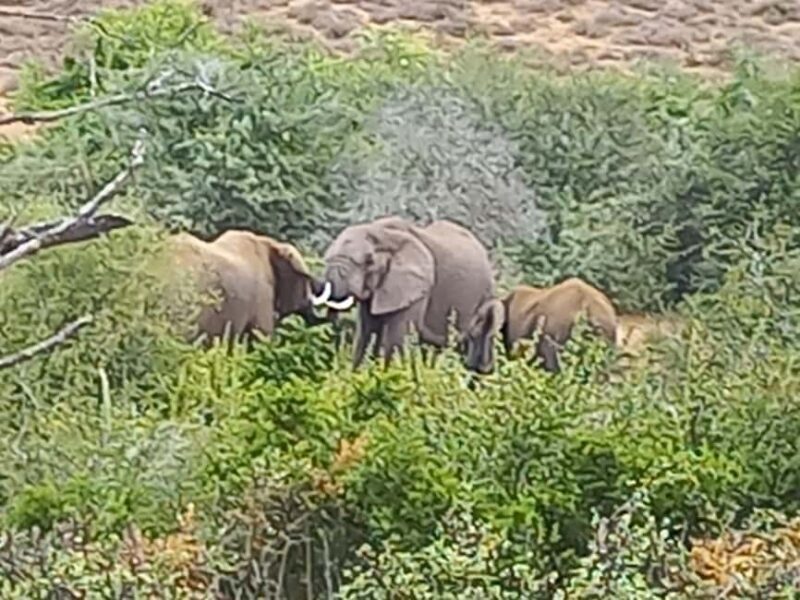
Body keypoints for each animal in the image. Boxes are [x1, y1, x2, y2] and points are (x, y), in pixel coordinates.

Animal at [310, 216, 497, 371]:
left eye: (369, 261)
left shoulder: (417, 286)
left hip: (483, 297)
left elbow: (397, 340)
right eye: (327, 258)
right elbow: (366, 334)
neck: (381, 232)